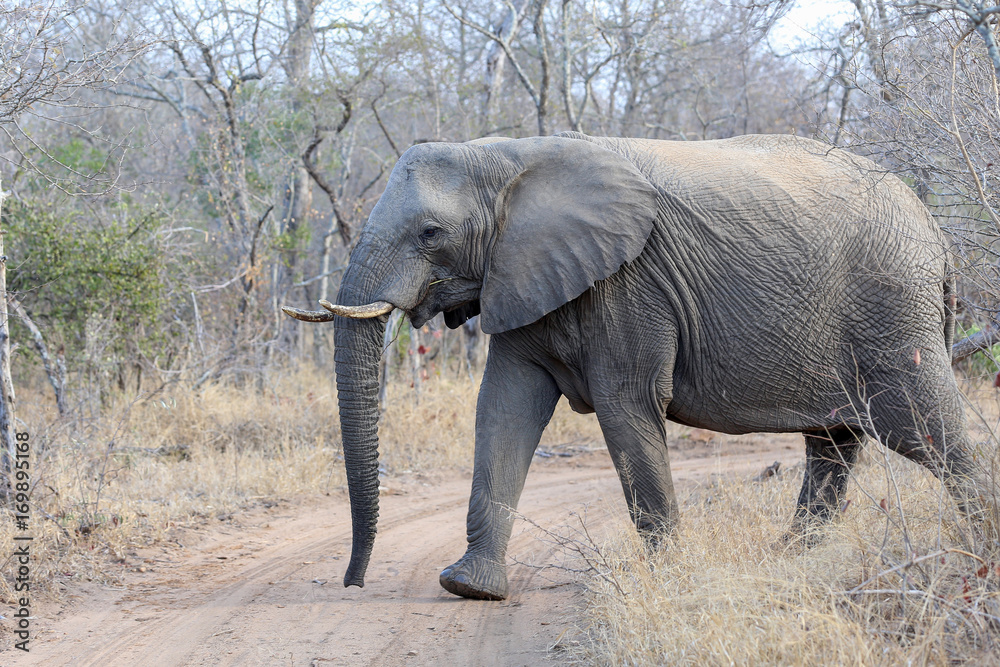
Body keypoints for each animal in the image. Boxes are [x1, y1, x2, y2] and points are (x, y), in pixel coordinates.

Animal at [284, 131, 989, 601]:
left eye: (430, 233)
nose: (351, 583)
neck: (509, 155)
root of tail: (935, 231)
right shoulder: (526, 273)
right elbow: (504, 409)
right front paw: (469, 589)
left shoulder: (630, 284)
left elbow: (627, 407)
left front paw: (670, 580)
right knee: (834, 446)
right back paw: (788, 561)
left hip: (893, 311)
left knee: (930, 431)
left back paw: (979, 548)